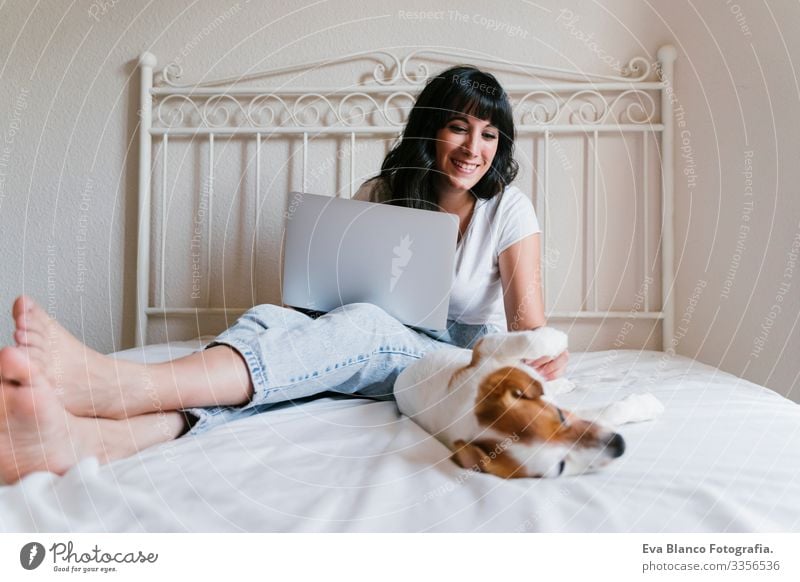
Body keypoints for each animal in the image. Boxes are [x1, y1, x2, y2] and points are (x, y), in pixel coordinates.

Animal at [394, 328, 664, 480]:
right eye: (560, 467)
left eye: (560, 417)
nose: (618, 444)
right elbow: (609, 411)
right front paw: (646, 405)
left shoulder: (484, 351)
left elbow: (529, 341)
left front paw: (555, 338)